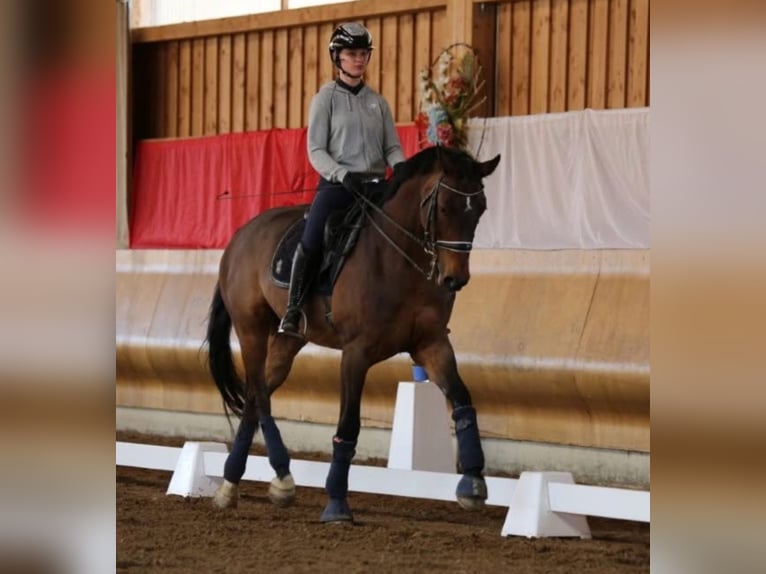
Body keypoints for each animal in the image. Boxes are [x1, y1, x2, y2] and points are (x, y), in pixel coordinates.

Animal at [205, 144, 501, 523]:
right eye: (445, 207)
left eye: (480, 209)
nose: (455, 279)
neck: (398, 261)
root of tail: (240, 235)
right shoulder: (356, 353)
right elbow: (348, 425)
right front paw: (336, 503)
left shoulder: (431, 344)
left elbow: (462, 399)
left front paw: (473, 483)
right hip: (251, 328)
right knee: (258, 392)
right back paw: (271, 480)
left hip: (288, 339)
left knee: (256, 401)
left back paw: (242, 483)